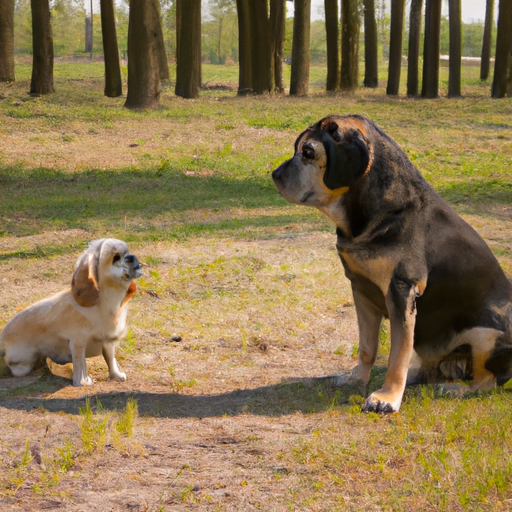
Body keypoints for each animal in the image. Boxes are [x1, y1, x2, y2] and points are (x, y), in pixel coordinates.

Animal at [0, 238, 142, 386]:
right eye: (116, 257)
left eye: (129, 252)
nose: (132, 257)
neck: (106, 304)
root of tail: (2, 337)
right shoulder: (78, 342)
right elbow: (80, 365)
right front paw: (83, 382)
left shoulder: (107, 342)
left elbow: (110, 358)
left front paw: (116, 375)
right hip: (24, 362)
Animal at [272, 115, 512, 412]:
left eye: (307, 152)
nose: (274, 174)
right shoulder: (361, 291)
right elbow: (368, 347)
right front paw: (357, 378)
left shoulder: (401, 291)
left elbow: (398, 353)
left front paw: (386, 397)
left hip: (486, 334)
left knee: (487, 382)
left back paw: (453, 388)